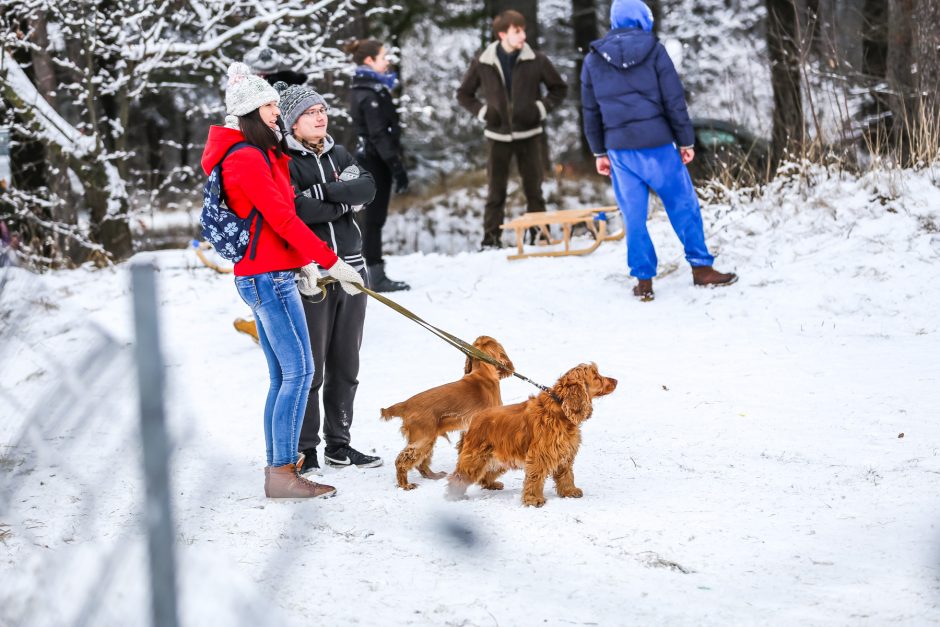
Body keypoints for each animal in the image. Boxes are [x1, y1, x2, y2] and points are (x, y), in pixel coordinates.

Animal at [380, 336, 516, 494]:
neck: (483, 371)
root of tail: (405, 404)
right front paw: (489, 483)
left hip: (428, 438)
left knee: (421, 462)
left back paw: (434, 475)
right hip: (423, 438)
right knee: (402, 460)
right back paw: (405, 484)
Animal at [446, 366, 616, 508]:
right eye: (597, 376)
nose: (616, 380)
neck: (560, 408)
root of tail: (474, 419)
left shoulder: (564, 453)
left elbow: (566, 474)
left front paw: (569, 491)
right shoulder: (540, 456)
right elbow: (535, 478)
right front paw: (534, 500)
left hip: (498, 458)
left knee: (486, 473)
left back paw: (492, 485)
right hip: (475, 457)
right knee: (458, 477)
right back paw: (454, 495)